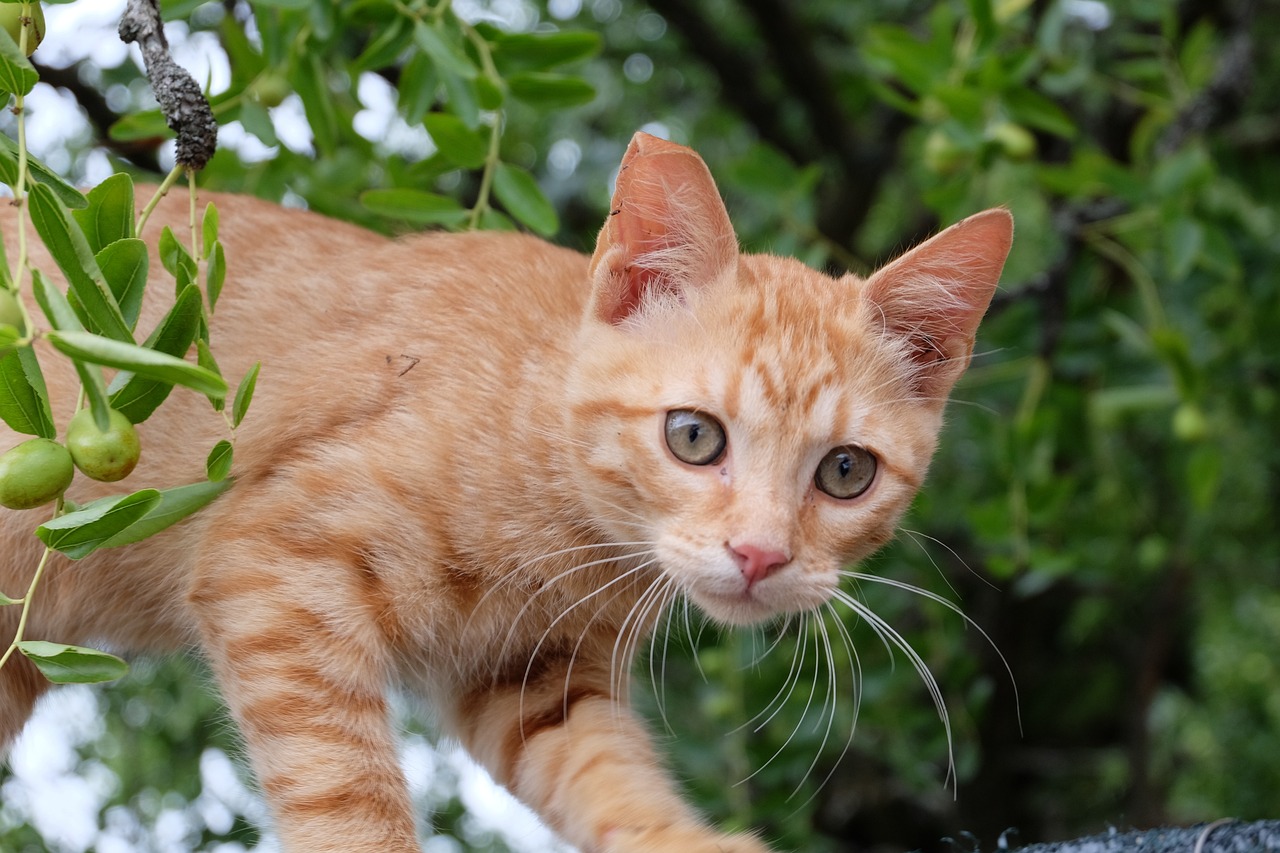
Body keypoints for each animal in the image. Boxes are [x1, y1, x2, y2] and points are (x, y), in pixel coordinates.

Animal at [0, 129, 1008, 845]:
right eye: (694, 437)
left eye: (846, 471)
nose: (760, 554)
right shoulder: (271, 566)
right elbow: (346, 792)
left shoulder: (534, 678)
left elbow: (612, 779)